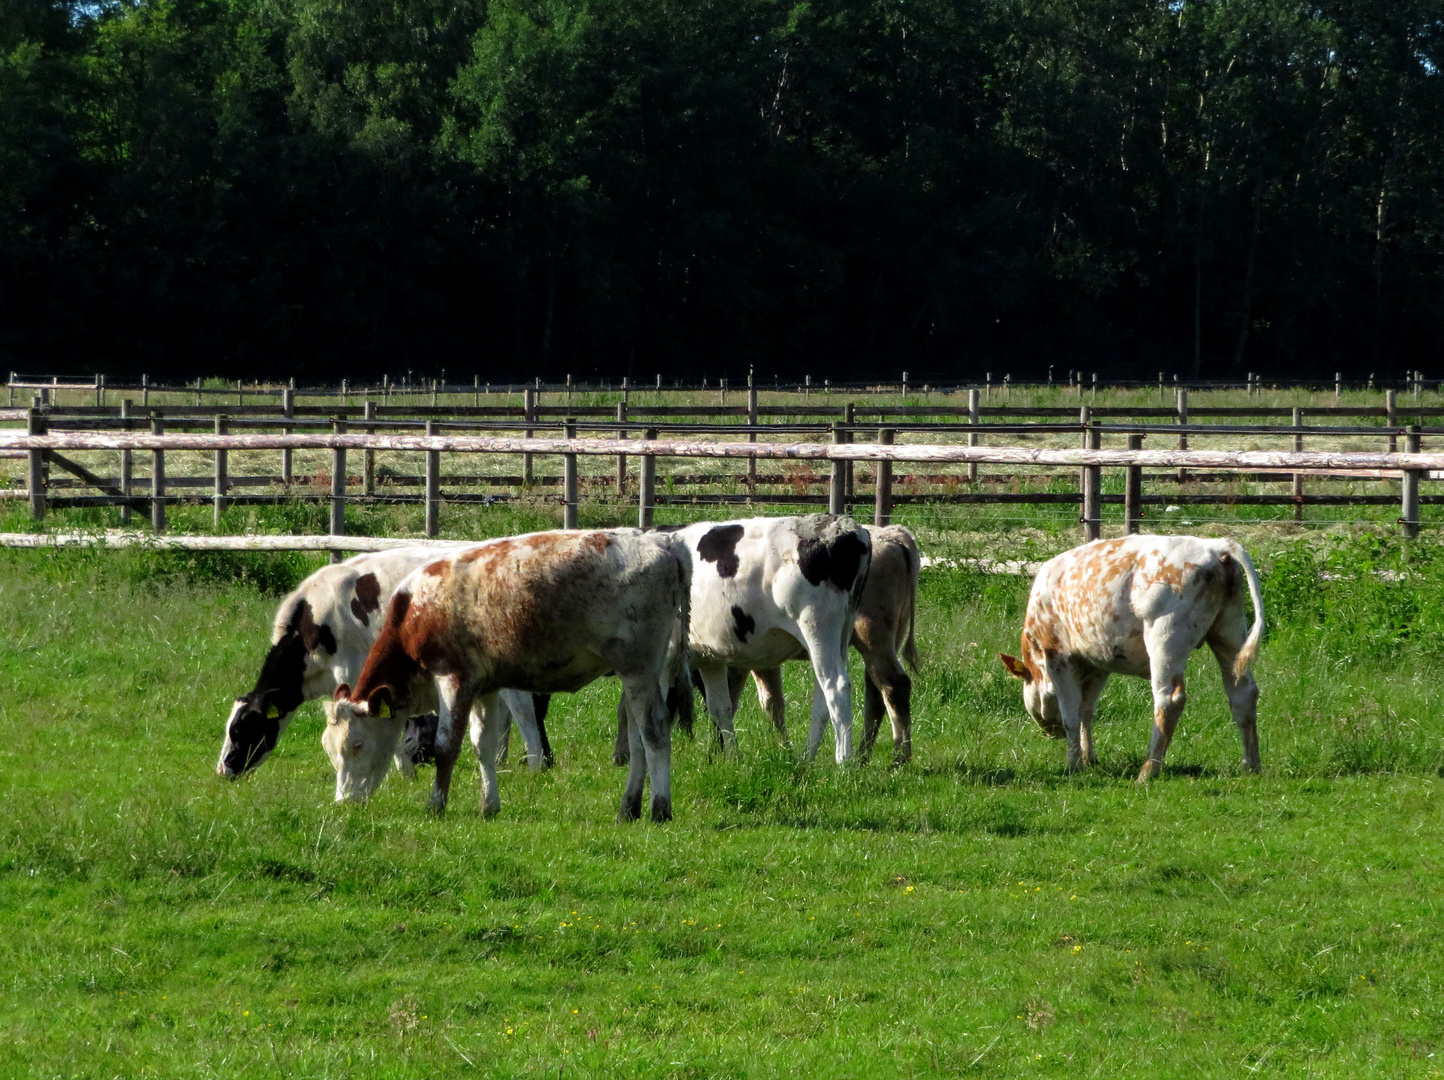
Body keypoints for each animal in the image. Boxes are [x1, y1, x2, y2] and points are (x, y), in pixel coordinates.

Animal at [216, 548, 548, 773]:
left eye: (241, 729)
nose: (223, 770)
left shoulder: (354, 672)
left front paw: (402, 771)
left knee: (523, 709)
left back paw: (534, 765)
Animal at [326, 528, 693, 820]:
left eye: (356, 745)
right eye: (329, 751)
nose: (342, 802)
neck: (415, 611)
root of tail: (660, 541)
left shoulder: (453, 680)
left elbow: (447, 747)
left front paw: (436, 804)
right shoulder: (484, 688)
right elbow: (483, 746)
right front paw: (489, 804)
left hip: (638, 670)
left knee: (654, 731)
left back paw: (660, 809)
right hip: (639, 676)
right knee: (636, 737)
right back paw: (629, 807)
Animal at [620, 514, 866, 756]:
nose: (619, 758)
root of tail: (847, 527)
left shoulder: (664, 657)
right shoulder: (710, 658)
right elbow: (721, 708)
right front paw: (732, 757)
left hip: (817, 628)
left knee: (836, 687)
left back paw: (843, 760)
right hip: (839, 637)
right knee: (822, 698)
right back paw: (807, 758)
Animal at [993, 534, 1264, 779]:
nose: (1049, 732)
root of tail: (1214, 546)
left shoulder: (1058, 657)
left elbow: (1071, 712)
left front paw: (1074, 765)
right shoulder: (1098, 662)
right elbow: (1086, 711)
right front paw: (1089, 758)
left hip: (1165, 640)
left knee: (1169, 700)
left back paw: (1148, 771)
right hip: (1229, 633)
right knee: (1242, 693)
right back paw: (1251, 765)